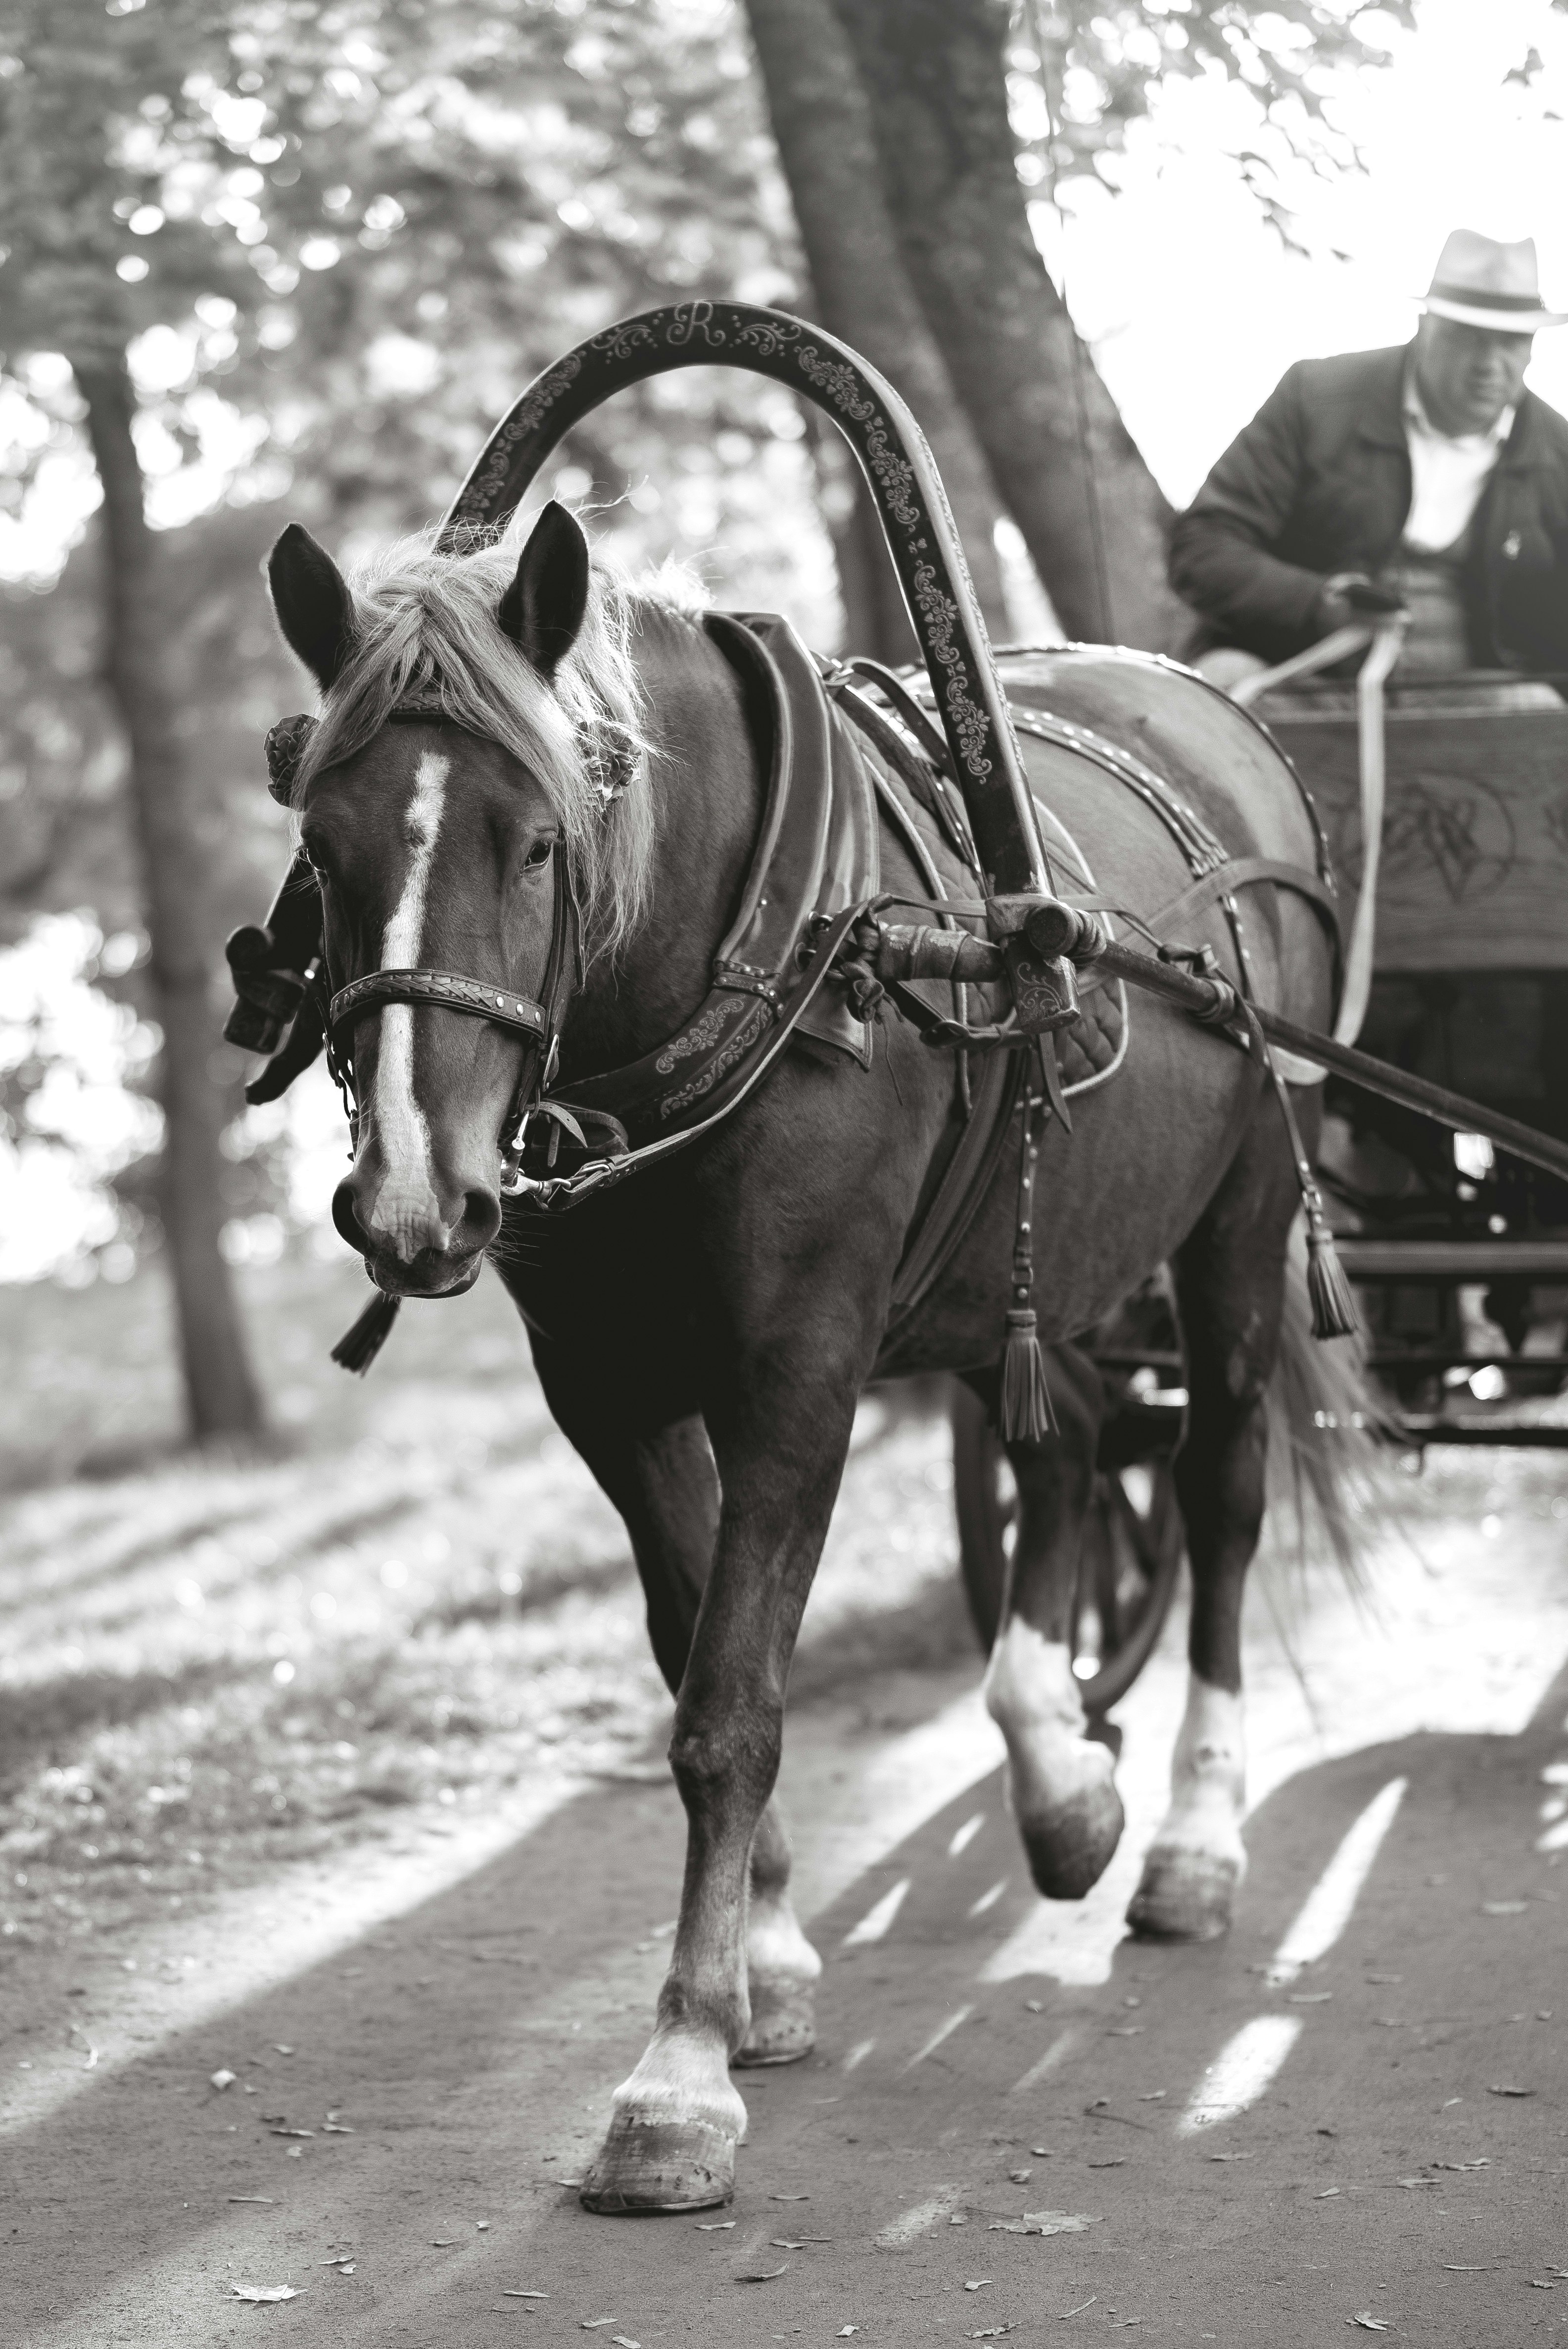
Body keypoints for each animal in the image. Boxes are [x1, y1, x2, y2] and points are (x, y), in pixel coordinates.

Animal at [261, 498, 1362, 2216]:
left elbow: (732, 1704)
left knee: (1217, 1488)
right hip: (989, 1267)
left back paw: (1194, 1839)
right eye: (325, 845)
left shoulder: (798, 1365)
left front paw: (676, 2075)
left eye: (538, 839)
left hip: (1239, 1217)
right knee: (1066, 1440)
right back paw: (1060, 1780)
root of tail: (1215, 708)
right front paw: (763, 1968)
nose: (413, 1201)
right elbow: (689, 1645)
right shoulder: (611, 1391)